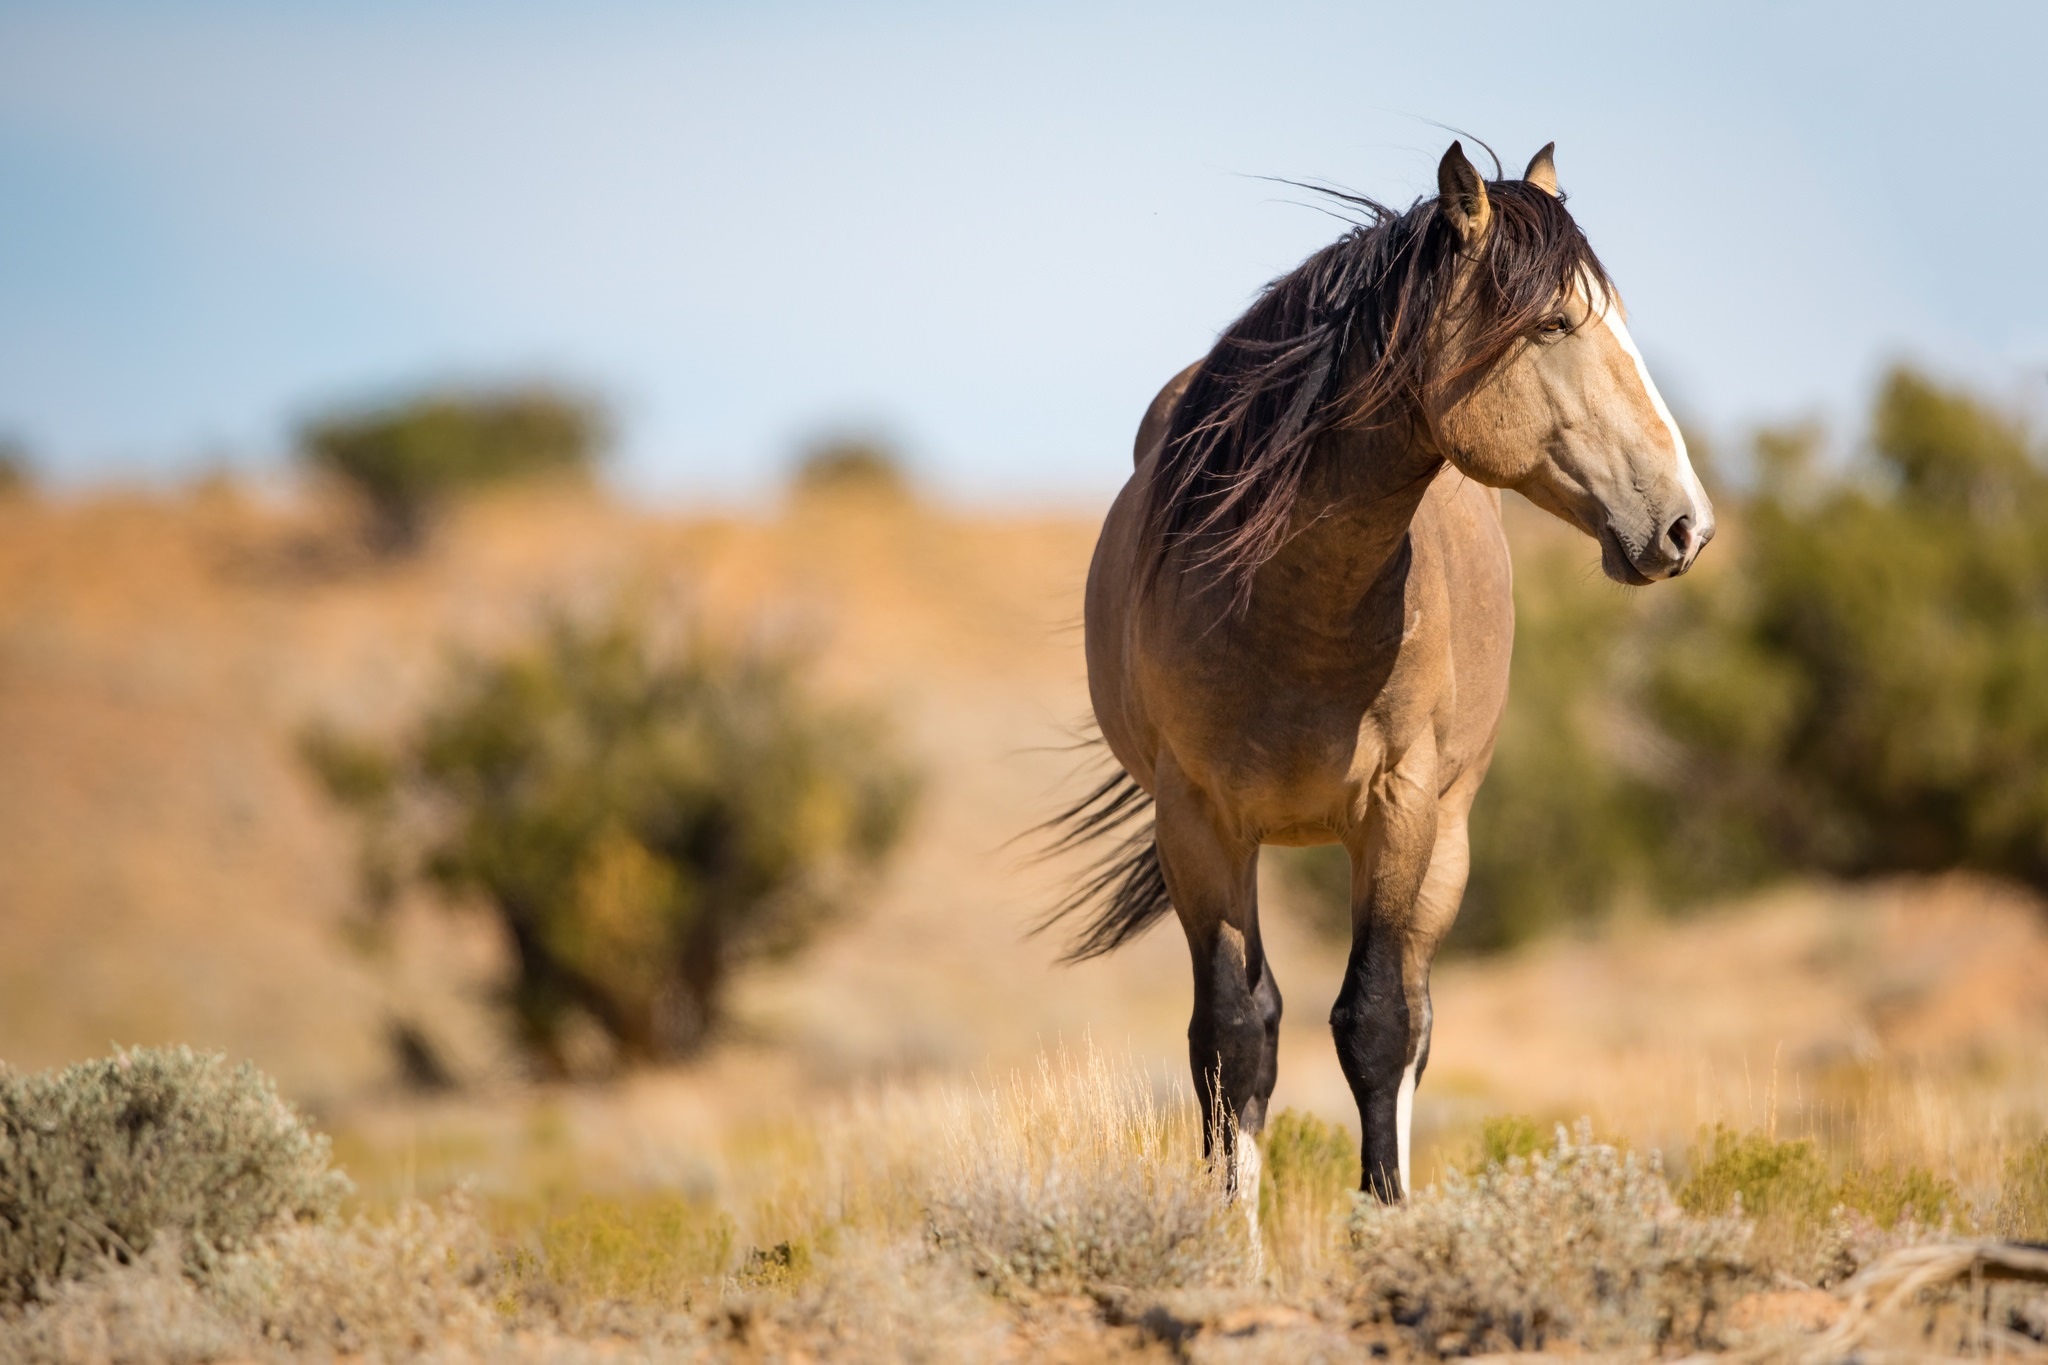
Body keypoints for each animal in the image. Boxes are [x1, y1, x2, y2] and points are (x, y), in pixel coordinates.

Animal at [1040, 139, 1712, 1203]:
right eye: (1553, 324)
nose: (1686, 523)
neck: (1293, 602)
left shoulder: (1400, 808)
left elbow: (1379, 1025)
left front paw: (1386, 1218)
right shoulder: (1199, 822)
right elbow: (1233, 1036)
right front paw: (1231, 1229)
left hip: (1449, 842)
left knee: (1417, 1018)